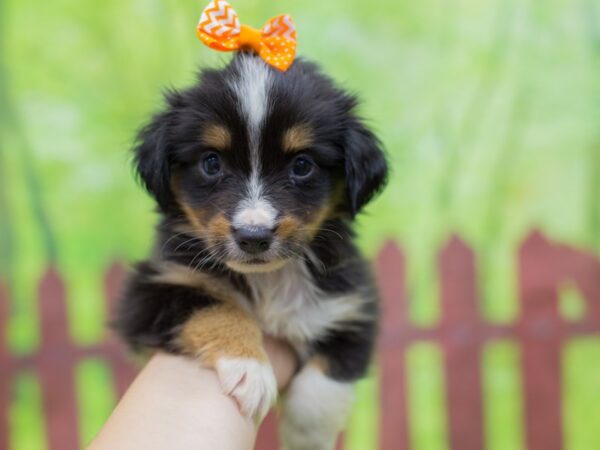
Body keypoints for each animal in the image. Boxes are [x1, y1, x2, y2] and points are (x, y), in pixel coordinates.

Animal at [116, 53, 390, 450]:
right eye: (211, 162)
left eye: (302, 165)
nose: (253, 236)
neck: (269, 279)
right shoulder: (153, 289)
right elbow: (214, 307)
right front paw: (250, 369)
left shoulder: (351, 306)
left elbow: (324, 382)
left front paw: (307, 437)